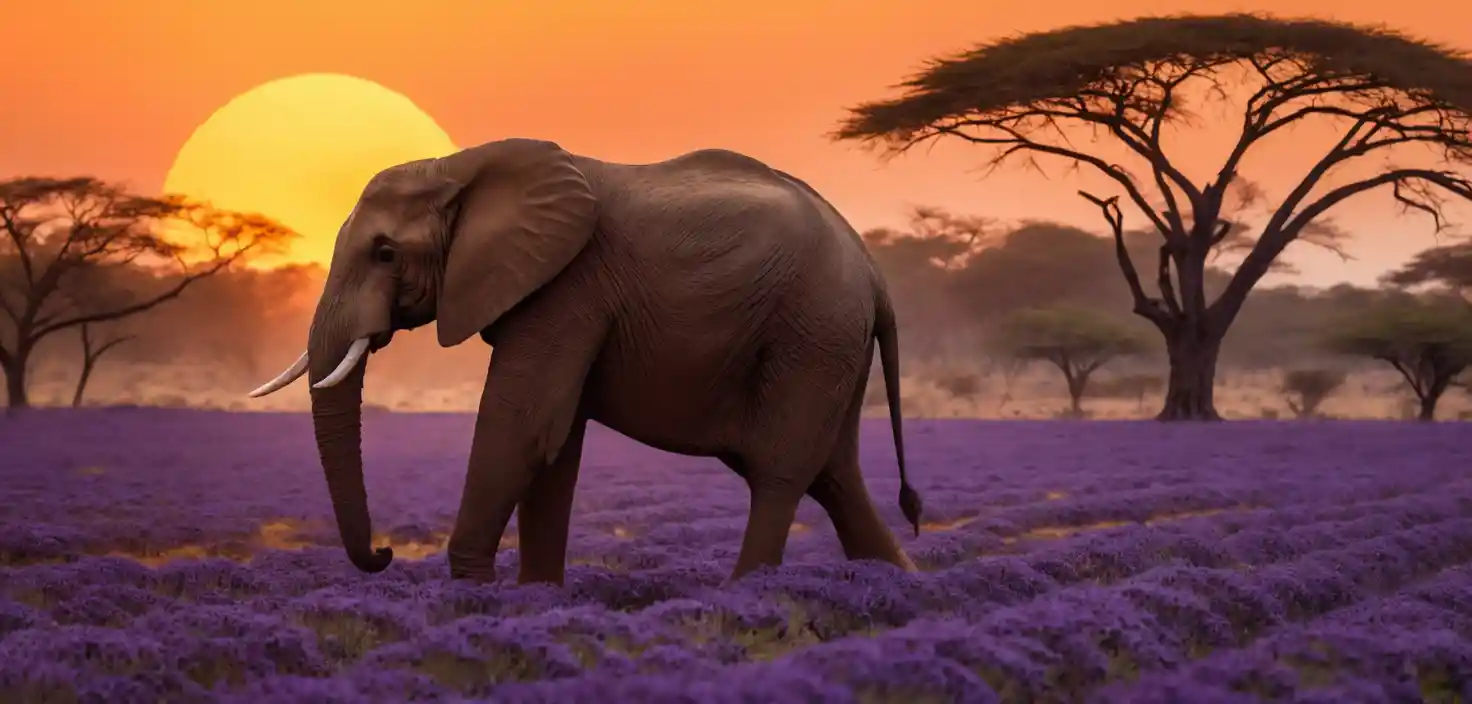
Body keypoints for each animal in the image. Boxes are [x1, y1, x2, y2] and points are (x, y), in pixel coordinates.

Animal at [247, 137, 923, 584]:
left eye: (385, 253)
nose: (384, 556)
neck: (460, 167)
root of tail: (874, 272)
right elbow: (554, 444)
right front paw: (535, 601)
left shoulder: (569, 287)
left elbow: (523, 427)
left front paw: (472, 598)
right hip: (829, 340)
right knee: (834, 477)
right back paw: (900, 591)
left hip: (812, 330)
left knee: (779, 473)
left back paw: (745, 598)